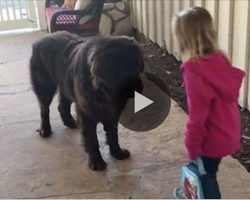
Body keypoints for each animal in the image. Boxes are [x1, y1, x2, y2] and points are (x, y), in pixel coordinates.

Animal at [29, 31, 144, 170]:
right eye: (123, 71)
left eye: (137, 67)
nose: (139, 88)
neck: (101, 90)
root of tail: (41, 39)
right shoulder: (87, 115)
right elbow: (92, 140)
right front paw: (97, 162)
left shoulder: (112, 113)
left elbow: (113, 135)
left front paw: (117, 153)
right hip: (45, 86)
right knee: (44, 109)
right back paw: (45, 129)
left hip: (66, 86)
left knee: (62, 105)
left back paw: (69, 122)